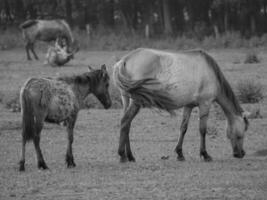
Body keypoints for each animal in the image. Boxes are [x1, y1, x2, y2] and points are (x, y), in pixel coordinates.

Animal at [112, 48, 250, 162]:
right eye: (242, 133)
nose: (241, 153)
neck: (210, 72)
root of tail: (124, 60)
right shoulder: (205, 104)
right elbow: (202, 130)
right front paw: (205, 154)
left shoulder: (188, 106)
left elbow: (183, 128)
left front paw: (180, 154)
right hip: (136, 102)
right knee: (125, 122)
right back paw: (122, 156)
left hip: (126, 100)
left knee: (127, 125)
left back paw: (130, 156)